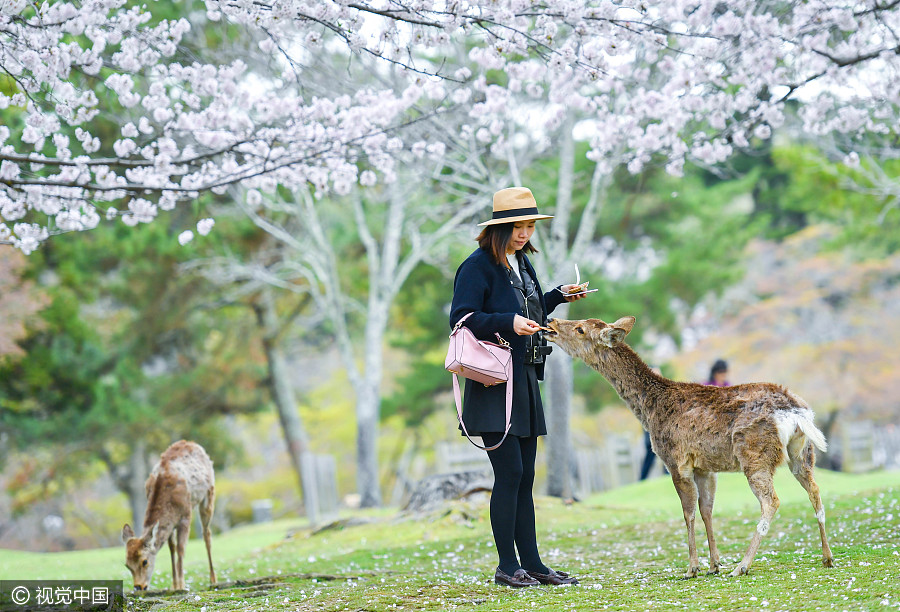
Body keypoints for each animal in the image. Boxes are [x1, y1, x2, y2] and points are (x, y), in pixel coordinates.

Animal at [121, 440, 217, 591]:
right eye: (127, 564)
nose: (139, 586)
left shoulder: (185, 516)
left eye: (145, 561)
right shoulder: (170, 522)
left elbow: (181, 548)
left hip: (209, 494)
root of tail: (192, 443)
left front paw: (182, 585)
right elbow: (172, 547)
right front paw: (174, 585)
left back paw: (213, 579)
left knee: (206, 533)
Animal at [544, 316, 834, 578]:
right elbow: (707, 509)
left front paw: (693, 568)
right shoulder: (705, 467)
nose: (551, 321)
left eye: (580, 328)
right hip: (802, 453)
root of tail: (795, 412)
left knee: (771, 501)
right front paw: (714, 565)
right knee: (815, 490)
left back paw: (742, 565)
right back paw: (827, 557)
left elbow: (688, 512)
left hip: (755, 453)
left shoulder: (676, 460)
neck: (649, 411)